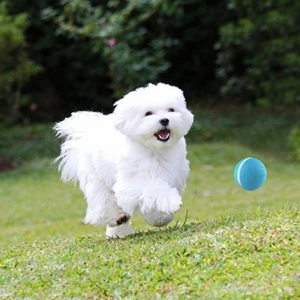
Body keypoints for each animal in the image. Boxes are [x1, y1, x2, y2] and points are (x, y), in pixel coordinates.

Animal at [54, 82, 193, 237]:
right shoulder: (131, 184)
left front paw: (160, 218)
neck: (155, 151)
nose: (164, 120)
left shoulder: (175, 177)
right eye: (148, 113)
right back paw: (116, 218)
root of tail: (89, 131)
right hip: (96, 179)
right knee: (104, 202)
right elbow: (153, 189)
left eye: (171, 110)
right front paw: (170, 202)